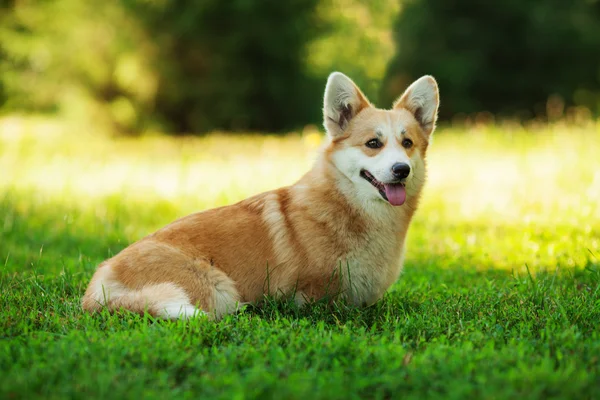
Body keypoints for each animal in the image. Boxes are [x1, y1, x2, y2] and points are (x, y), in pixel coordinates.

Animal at [82, 72, 438, 320]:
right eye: (373, 144)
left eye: (407, 143)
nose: (401, 170)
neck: (350, 206)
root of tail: (96, 289)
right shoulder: (312, 297)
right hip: (218, 289)